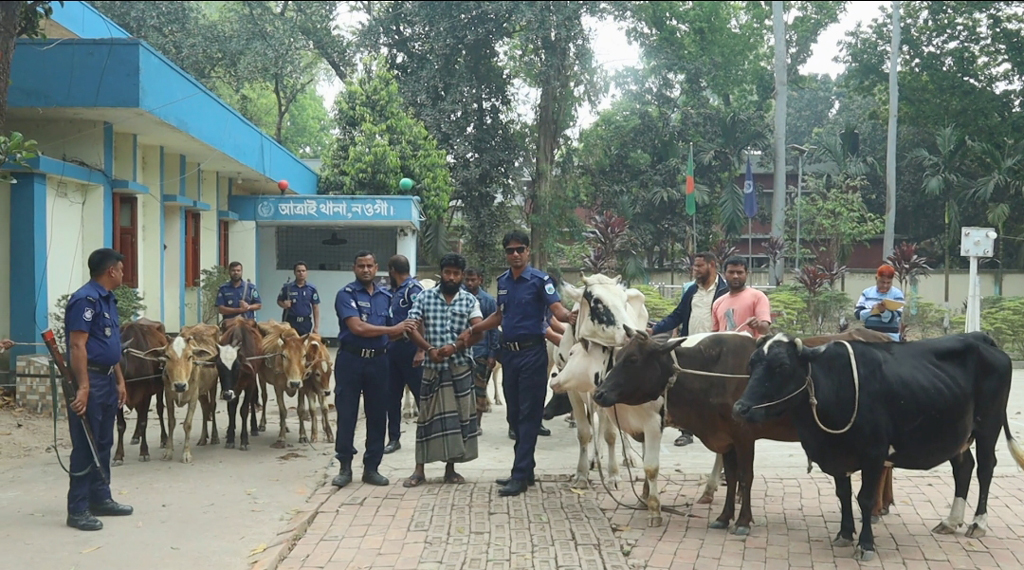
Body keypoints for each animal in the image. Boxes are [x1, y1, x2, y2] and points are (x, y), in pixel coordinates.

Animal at [115, 317, 167, 464]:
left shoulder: (146, 395)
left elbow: (144, 421)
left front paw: (144, 452)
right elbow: (120, 425)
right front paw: (118, 455)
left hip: (160, 389)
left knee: (160, 409)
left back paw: (164, 439)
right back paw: (135, 436)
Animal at [593, 325, 897, 532]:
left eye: (633, 360)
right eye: (617, 356)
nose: (599, 393)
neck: (709, 371)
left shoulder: (743, 435)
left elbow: (745, 477)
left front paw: (742, 521)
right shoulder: (726, 438)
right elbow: (731, 476)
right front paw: (723, 517)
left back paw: (875, 509)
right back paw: (882, 506)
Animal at [737, 329, 1024, 560]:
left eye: (782, 366)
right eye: (752, 364)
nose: (741, 408)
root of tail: (979, 337)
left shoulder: (873, 454)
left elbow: (865, 499)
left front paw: (866, 544)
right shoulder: (838, 454)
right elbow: (843, 495)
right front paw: (844, 534)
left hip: (988, 426)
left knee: (985, 468)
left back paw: (978, 523)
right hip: (957, 435)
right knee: (964, 468)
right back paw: (951, 521)